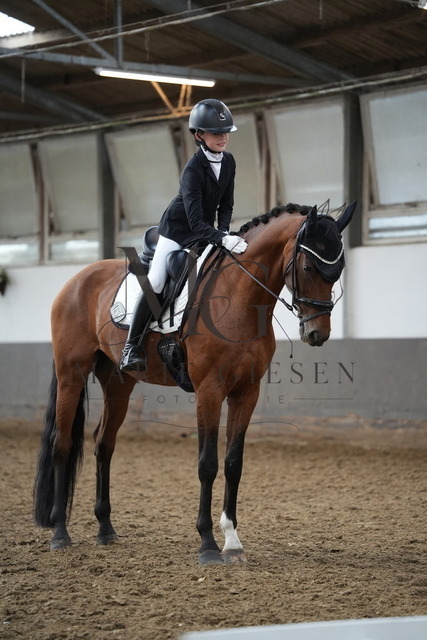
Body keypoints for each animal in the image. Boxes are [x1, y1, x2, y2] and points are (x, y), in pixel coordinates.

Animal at [33, 201, 355, 564]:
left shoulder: (246, 392)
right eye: (308, 266)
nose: (317, 334)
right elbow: (207, 464)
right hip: (70, 374)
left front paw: (232, 541)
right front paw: (208, 544)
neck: (239, 297)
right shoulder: (209, 391)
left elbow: (233, 463)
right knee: (61, 444)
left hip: (118, 383)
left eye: (338, 269)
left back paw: (105, 529)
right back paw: (60, 533)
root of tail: (76, 279)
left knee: (104, 443)